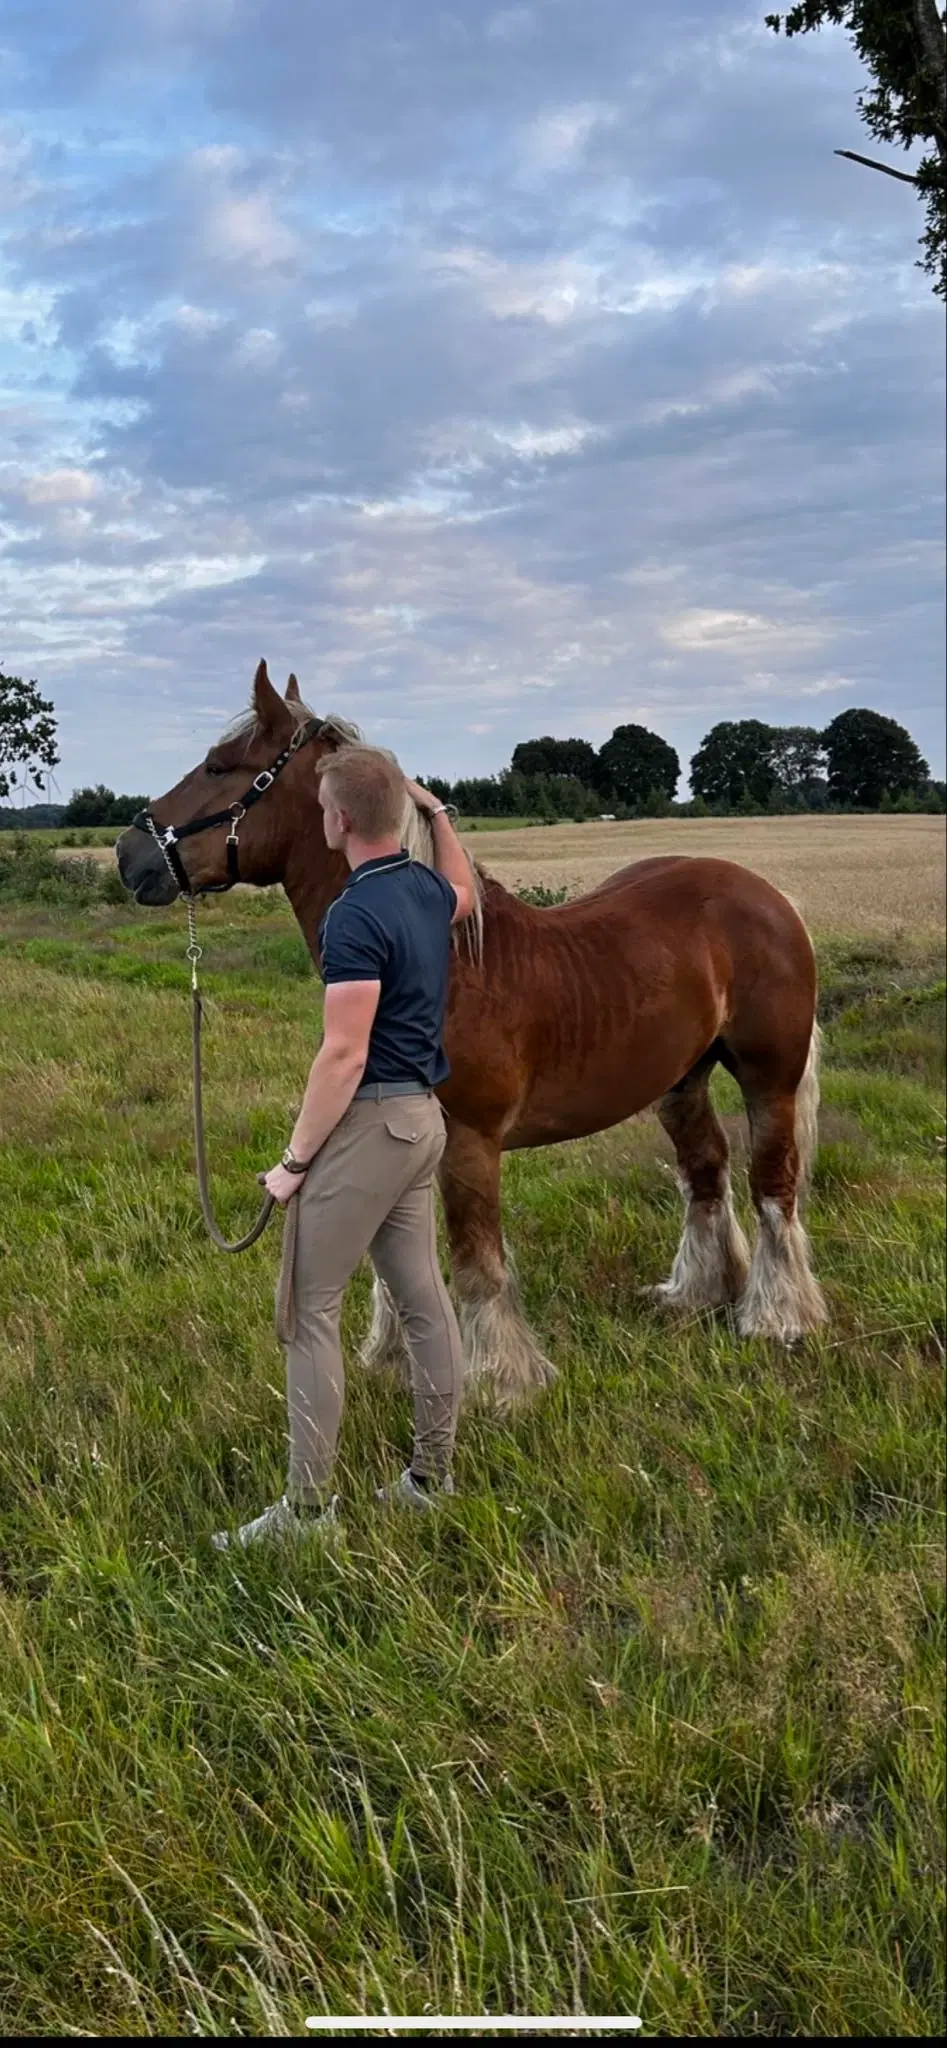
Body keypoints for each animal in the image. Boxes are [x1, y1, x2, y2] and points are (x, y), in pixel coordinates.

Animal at [118, 663, 824, 1400]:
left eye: (217, 765)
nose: (128, 853)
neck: (444, 959)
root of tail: (770, 897)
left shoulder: (470, 1142)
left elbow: (476, 1263)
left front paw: (502, 1380)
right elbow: (395, 1261)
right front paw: (392, 1356)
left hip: (768, 1080)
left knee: (772, 1186)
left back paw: (776, 1319)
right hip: (681, 1082)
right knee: (705, 1175)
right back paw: (696, 1295)